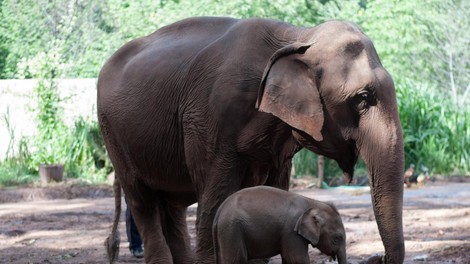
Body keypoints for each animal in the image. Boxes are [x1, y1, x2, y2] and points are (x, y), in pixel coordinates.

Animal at [213, 187, 346, 262]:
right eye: (336, 238)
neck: (312, 203)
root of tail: (219, 212)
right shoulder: (291, 231)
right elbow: (296, 259)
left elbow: (288, 259)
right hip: (231, 229)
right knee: (237, 259)